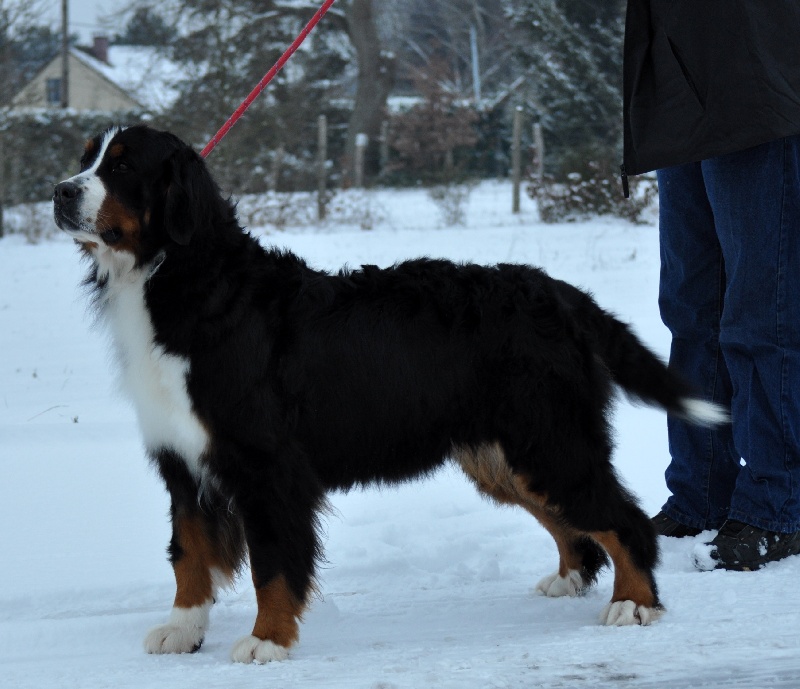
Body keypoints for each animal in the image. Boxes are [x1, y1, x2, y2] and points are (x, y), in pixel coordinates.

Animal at [50, 123, 724, 660]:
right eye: (87, 157)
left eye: (122, 166)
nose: (59, 192)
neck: (183, 281)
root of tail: (557, 291)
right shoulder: (182, 457)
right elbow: (189, 553)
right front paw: (183, 630)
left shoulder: (266, 466)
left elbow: (272, 563)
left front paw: (268, 640)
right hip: (506, 454)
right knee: (573, 525)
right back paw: (569, 579)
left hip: (549, 441)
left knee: (624, 518)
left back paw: (634, 604)